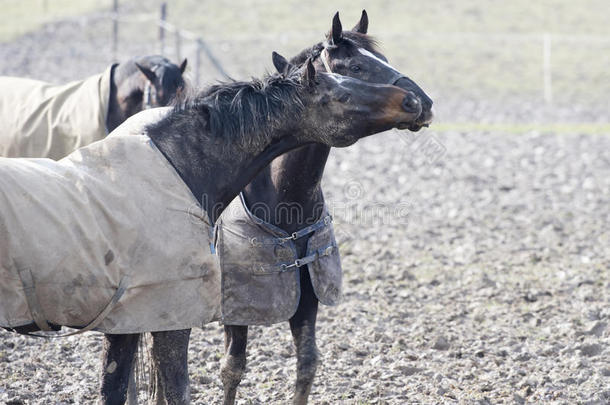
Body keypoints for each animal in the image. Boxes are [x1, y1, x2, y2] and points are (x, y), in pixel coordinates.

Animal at [218, 10, 432, 404]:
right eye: (356, 67)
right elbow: (233, 369)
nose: (422, 103)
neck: (285, 196)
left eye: (384, 59)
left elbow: (306, 365)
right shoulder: (236, 309)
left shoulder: (308, 300)